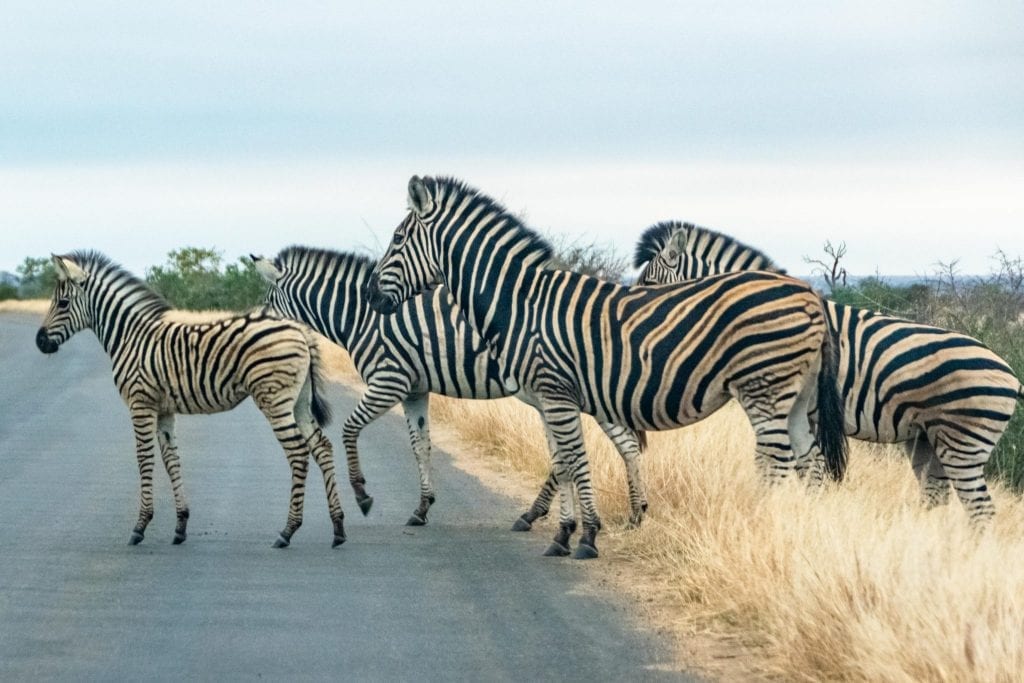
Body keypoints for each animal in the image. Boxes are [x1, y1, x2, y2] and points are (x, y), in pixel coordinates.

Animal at [36, 252, 348, 548]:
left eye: (62, 303)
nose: (39, 342)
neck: (130, 337)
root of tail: (299, 329)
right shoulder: (163, 409)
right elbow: (171, 459)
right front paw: (181, 525)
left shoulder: (140, 403)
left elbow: (144, 458)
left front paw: (140, 526)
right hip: (300, 401)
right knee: (322, 447)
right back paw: (338, 528)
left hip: (274, 398)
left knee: (298, 452)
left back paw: (288, 531)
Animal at [248, 245, 647, 528]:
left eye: (268, 305)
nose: (256, 338)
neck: (361, 317)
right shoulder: (413, 390)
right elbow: (420, 446)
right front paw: (423, 507)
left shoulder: (389, 381)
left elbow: (349, 428)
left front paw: (362, 494)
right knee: (620, 444)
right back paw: (628, 513)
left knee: (618, 444)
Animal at [364, 176, 843, 561]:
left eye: (398, 238)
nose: (372, 297)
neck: (520, 304)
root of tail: (808, 292)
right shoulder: (550, 398)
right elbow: (562, 462)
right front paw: (562, 533)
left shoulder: (556, 393)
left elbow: (575, 461)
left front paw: (587, 536)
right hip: (795, 396)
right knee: (811, 462)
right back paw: (803, 534)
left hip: (765, 386)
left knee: (776, 462)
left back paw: (763, 529)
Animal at [630, 222, 1024, 528]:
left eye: (649, 282)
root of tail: (1011, 375)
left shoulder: (810, 413)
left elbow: (809, 470)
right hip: (928, 441)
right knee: (940, 497)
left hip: (964, 444)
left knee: (981, 510)